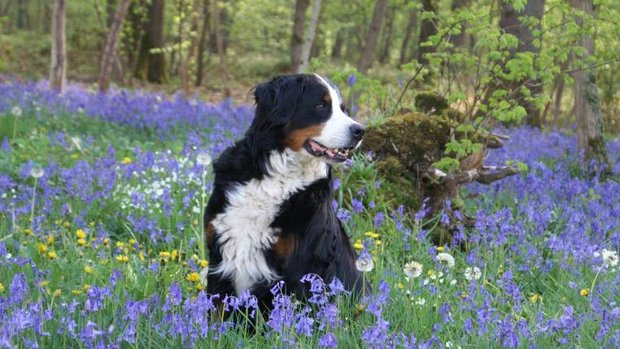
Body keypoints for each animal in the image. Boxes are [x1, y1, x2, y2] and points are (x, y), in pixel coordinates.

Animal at [203, 72, 366, 308]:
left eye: (343, 109)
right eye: (320, 106)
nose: (360, 131)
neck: (278, 177)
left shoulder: (298, 268)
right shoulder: (218, 255)